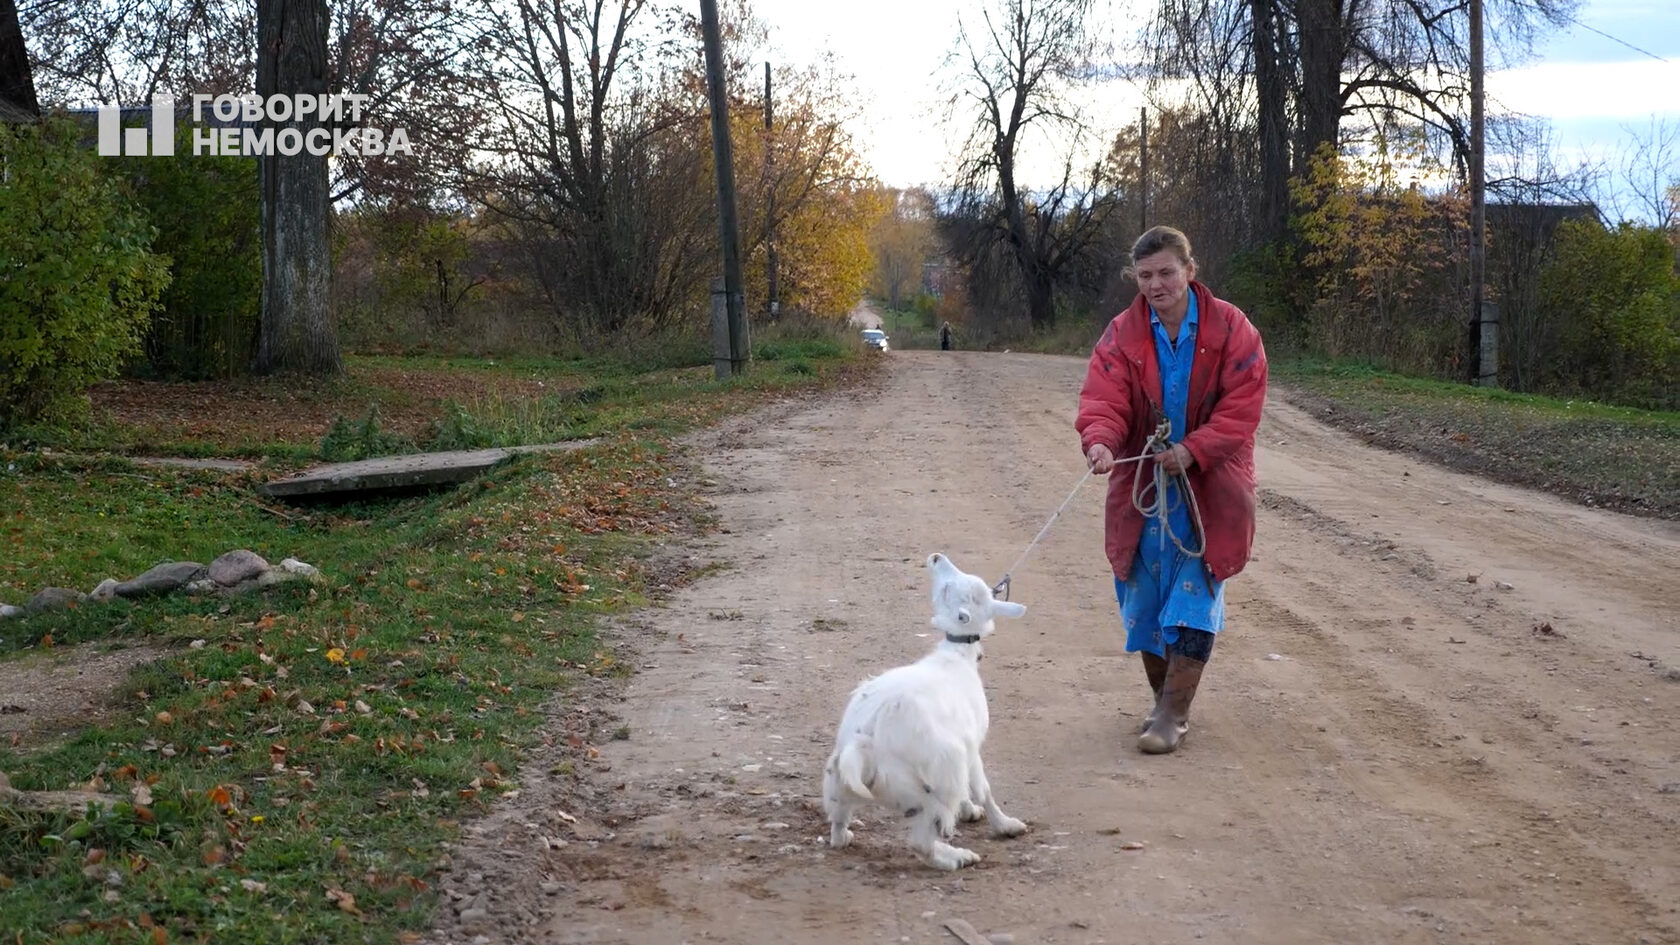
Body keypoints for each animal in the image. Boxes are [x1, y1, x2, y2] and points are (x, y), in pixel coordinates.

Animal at [819, 551, 1028, 867]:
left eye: (947, 589)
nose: (936, 557)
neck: (956, 657)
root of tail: (866, 743)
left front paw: (969, 810)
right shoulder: (971, 746)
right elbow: (983, 789)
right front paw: (1006, 825)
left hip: (839, 782)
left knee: (838, 826)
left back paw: (845, 836)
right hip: (931, 782)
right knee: (922, 842)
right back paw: (957, 857)